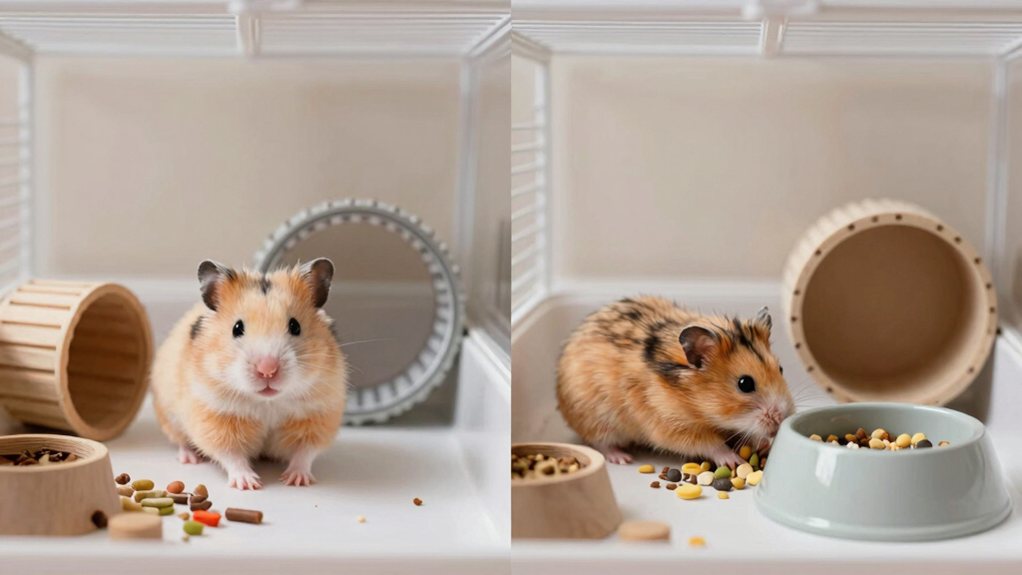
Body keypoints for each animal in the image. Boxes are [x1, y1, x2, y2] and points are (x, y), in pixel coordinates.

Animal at [152, 259, 347, 489]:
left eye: (295, 326)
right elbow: (231, 454)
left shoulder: (318, 416)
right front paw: (248, 483)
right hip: (169, 415)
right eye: (237, 328)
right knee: (181, 440)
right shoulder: (215, 417)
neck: (268, 402)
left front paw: (296, 480)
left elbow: (305, 452)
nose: (267, 370)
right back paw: (190, 458)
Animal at [556, 296, 794, 467]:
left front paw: (762, 446)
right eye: (745, 384)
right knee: (600, 442)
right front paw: (734, 461)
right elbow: (709, 444)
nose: (782, 418)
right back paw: (623, 458)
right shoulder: (670, 425)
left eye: (781, 369)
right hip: (596, 420)